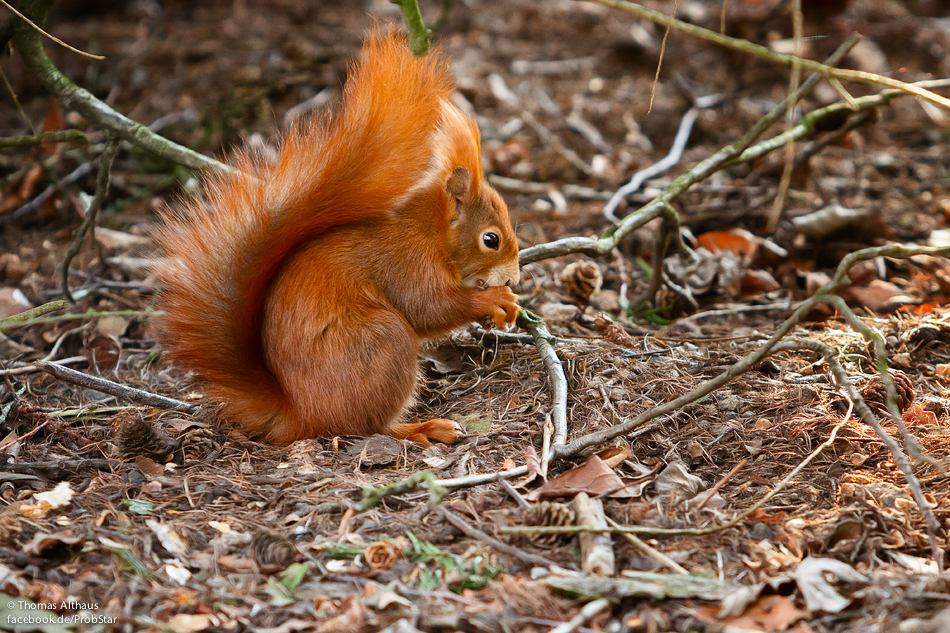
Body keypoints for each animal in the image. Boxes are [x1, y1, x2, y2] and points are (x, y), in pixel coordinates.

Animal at [160, 28, 524, 444]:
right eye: (491, 239)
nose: (515, 277)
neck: (430, 231)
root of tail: (302, 413)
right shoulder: (408, 262)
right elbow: (430, 307)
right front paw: (495, 299)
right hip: (384, 343)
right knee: (370, 426)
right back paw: (422, 428)